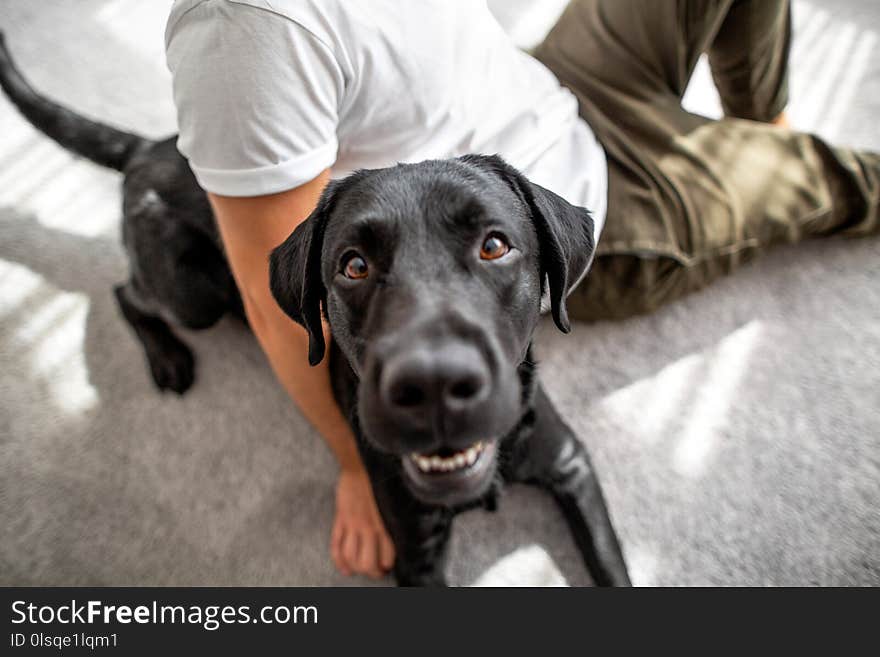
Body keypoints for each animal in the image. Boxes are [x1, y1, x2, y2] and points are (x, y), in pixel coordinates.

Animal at [1, 33, 632, 584]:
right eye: (354, 265)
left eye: (494, 245)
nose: (432, 385)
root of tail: (153, 146)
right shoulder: (416, 549)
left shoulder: (572, 465)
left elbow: (612, 568)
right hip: (191, 292)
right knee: (126, 292)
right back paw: (166, 357)